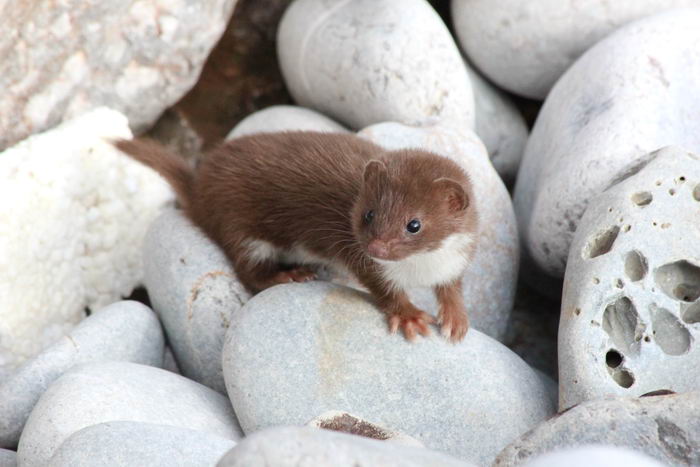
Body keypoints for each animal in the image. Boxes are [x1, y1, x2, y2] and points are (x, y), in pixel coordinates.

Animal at [117, 130, 478, 342]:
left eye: (414, 224)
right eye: (369, 213)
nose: (376, 246)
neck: (420, 268)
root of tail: (199, 186)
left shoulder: (455, 259)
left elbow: (452, 288)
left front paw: (456, 319)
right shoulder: (363, 261)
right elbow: (384, 288)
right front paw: (410, 316)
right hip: (241, 226)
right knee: (250, 270)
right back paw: (291, 275)